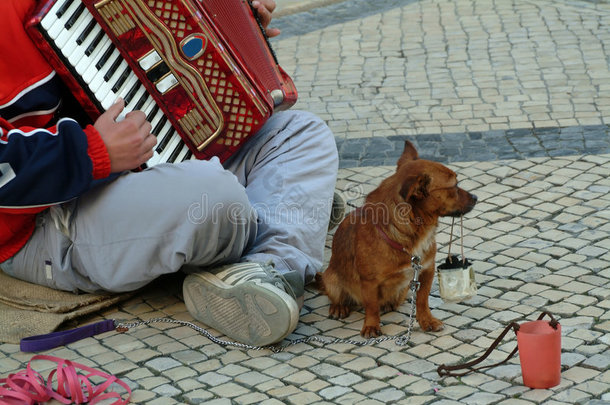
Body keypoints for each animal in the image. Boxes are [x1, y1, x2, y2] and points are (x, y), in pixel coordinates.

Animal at [316, 140, 478, 336]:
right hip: (332, 279)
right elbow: (371, 307)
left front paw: (427, 321)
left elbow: (422, 301)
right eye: (454, 186)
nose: (476, 197)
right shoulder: (369, 283)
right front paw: (371, 326)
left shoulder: (426, 271)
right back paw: (339, 307)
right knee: (338, 296)